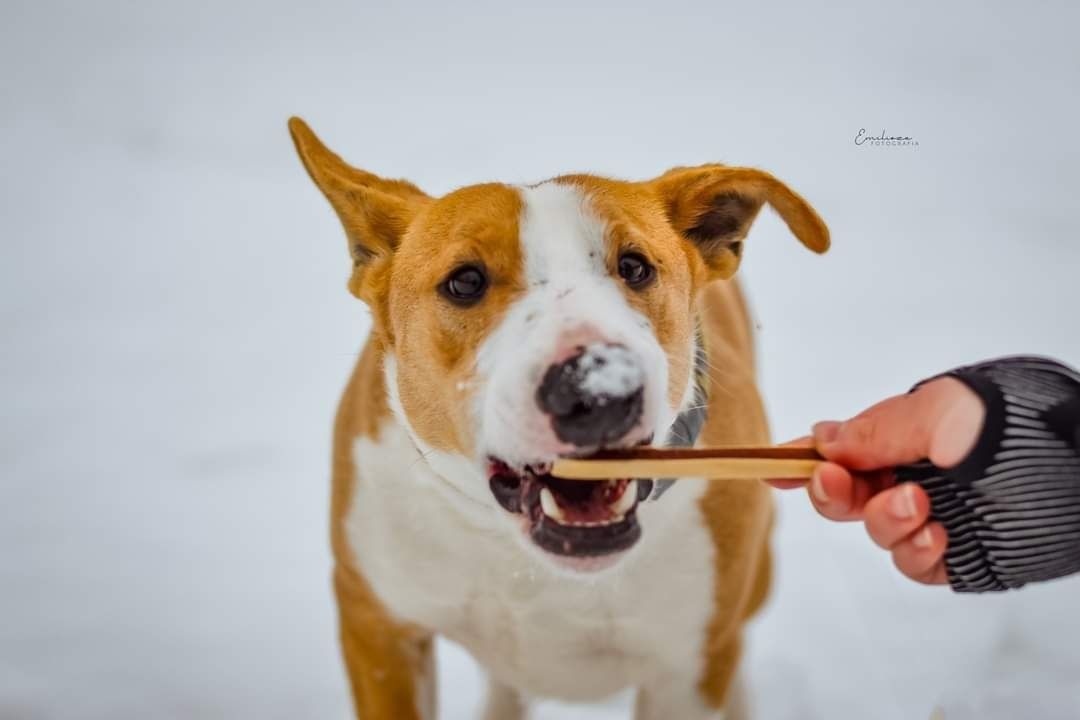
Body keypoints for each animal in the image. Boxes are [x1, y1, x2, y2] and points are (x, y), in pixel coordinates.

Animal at [287, 118, 825, 720]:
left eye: (635, 267)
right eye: (464, 281)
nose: (596, 389)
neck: (519, 553)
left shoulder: (690, 664)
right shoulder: (379, 630)